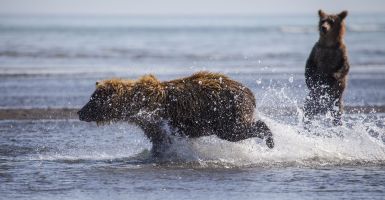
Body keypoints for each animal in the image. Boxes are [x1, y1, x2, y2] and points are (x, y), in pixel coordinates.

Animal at [77, 72, 272, 156]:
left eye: (92, 99)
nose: (79, 112)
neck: (136, 104)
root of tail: (249, 92)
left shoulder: (156, 119)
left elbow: (162, 140)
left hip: (225, 113)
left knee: (236, 131)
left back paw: (270, 141)